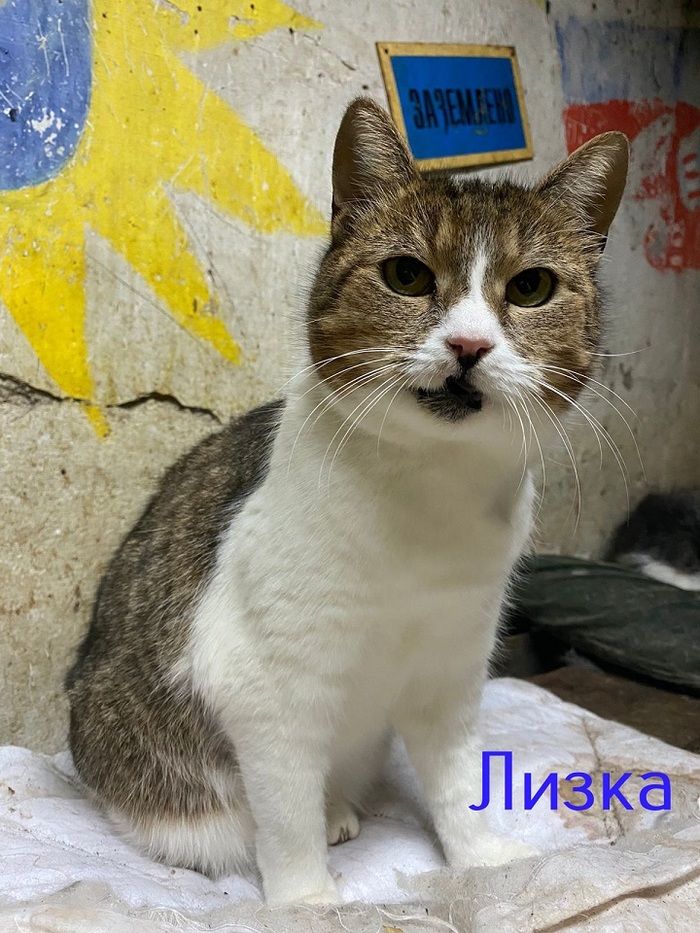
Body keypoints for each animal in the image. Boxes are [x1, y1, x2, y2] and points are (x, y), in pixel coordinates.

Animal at [66, 98, 628, 906]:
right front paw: (307, 902)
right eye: (406, 275)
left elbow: (459, 780)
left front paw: (485, 861)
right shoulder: (265, 686)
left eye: (531, 288)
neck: (427, 493)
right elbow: (285, 812)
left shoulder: (452, 668)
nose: (467, 345)